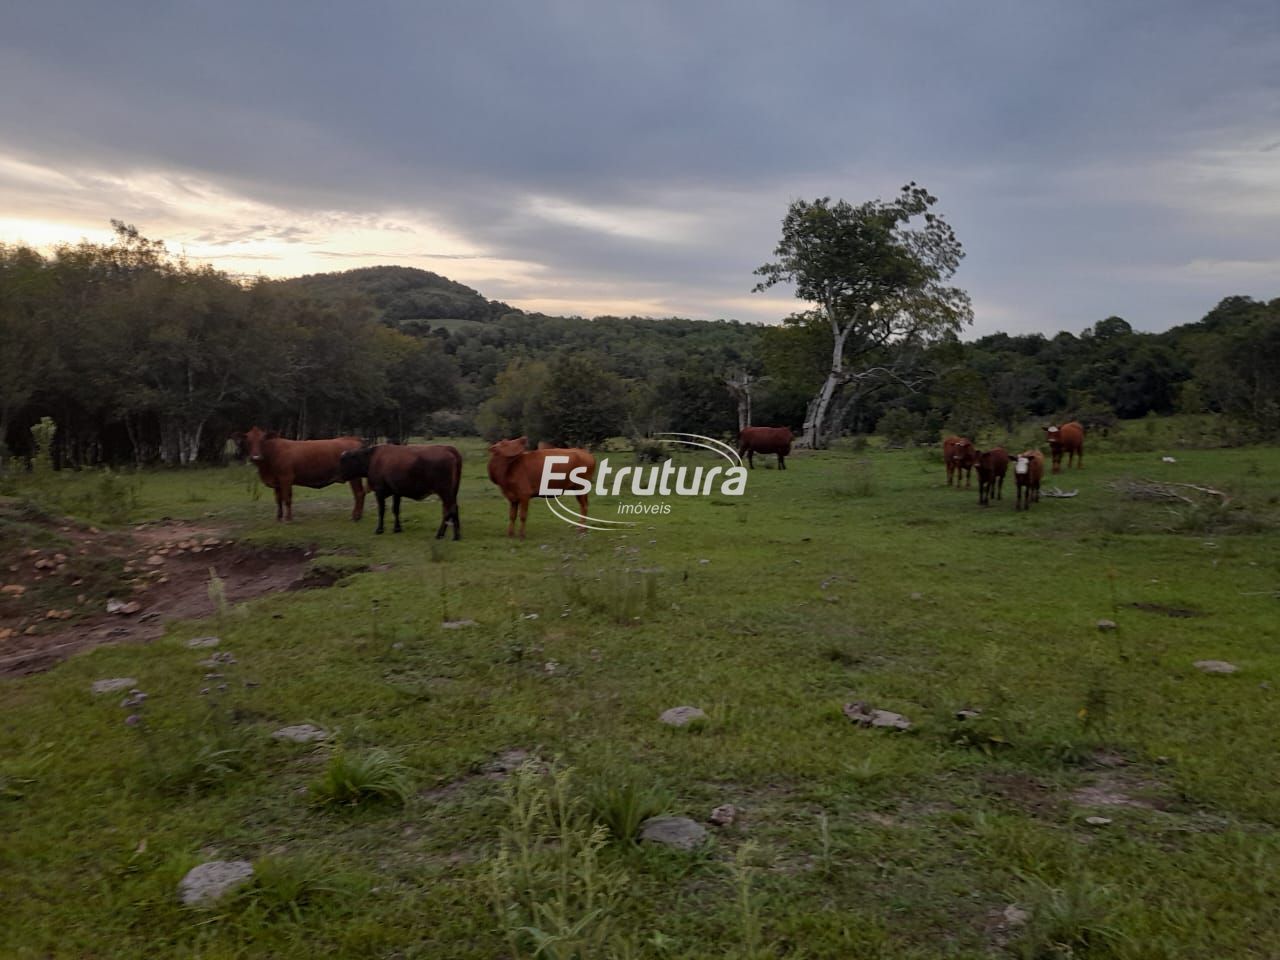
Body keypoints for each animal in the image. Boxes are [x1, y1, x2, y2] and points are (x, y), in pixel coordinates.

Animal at [236, 424, 366, 522]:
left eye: (262, 440)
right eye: (248, 441)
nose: (256, 457)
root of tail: (351, 438)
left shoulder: (286, 478)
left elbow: (287, 499)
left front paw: (288, 519)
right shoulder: (277, 481)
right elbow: (278, 499)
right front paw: (278, 518)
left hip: (355, 477)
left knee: (358, 493)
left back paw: (355, 517)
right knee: (360, 493)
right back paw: (359, 516)